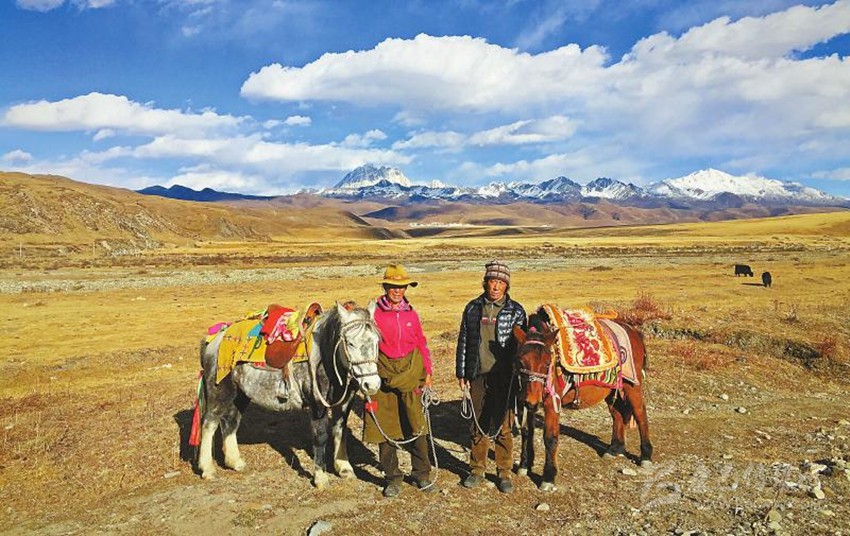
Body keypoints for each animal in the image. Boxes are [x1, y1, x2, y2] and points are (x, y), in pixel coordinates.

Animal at [196, 301, 382, 489]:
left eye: (376, 341)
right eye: (350, 343)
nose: (371, 384)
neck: (324, 355)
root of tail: (213, 339)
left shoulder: (344, 403)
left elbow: (340, 431)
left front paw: (344, 468)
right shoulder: (317, 404)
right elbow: (321, 436)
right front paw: (321, 478)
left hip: (241, 394)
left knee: (230, 421)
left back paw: (235, 462)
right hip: (219, 389)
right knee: (209, 423)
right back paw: (207, 469)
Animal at [512, 312, 653, 491]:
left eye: (547, 363)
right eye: (520, 361)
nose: (532, 400)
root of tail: (634, 332)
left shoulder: (552, 404)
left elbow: (550, 438)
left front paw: (548, 477)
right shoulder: (524, 404)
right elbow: (526, 433)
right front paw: (524, 465)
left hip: (632, 387)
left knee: (640, 414)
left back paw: (646, 456)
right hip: (611, 390)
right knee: (618, 415)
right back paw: (615, 448)